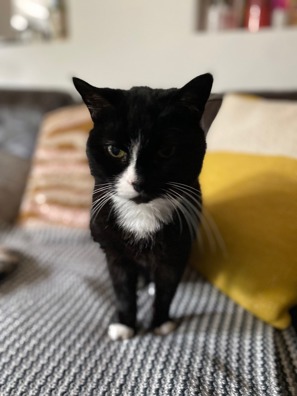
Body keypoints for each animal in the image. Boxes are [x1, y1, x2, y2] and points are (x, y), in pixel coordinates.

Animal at [73, 74, 213, 340]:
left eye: (167, 150)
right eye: (115, 150)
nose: (137, 182)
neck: (142, 215)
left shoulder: (177, 248)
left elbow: (167, 289)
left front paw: (161, 323)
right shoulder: (113, 251)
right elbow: (122, 291)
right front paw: (124, 325)